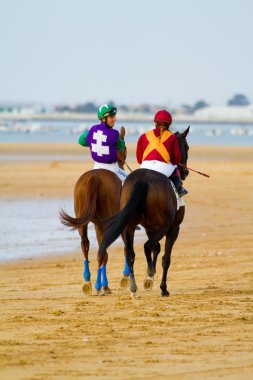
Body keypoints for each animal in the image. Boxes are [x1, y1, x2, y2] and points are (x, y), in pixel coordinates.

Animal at [59, 126, 126, 296]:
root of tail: (94, 177)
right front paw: (125, 278)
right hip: (104, 222)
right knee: (102, 250)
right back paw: (102, 285)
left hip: (84, 221)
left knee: (85, 245)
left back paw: (88, 282)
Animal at [98, 127, 190, 296]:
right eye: (186, 147)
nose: (185, 172)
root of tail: (142, 181)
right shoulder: (173, 228)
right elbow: (165, 257)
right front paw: (161, 287)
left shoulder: (149, 228)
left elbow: (156, 248)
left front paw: (149, 280)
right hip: (163, 227)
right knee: (147, 247)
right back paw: (151, 276)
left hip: (128, 227)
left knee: (130, 253)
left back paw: (134, 288)